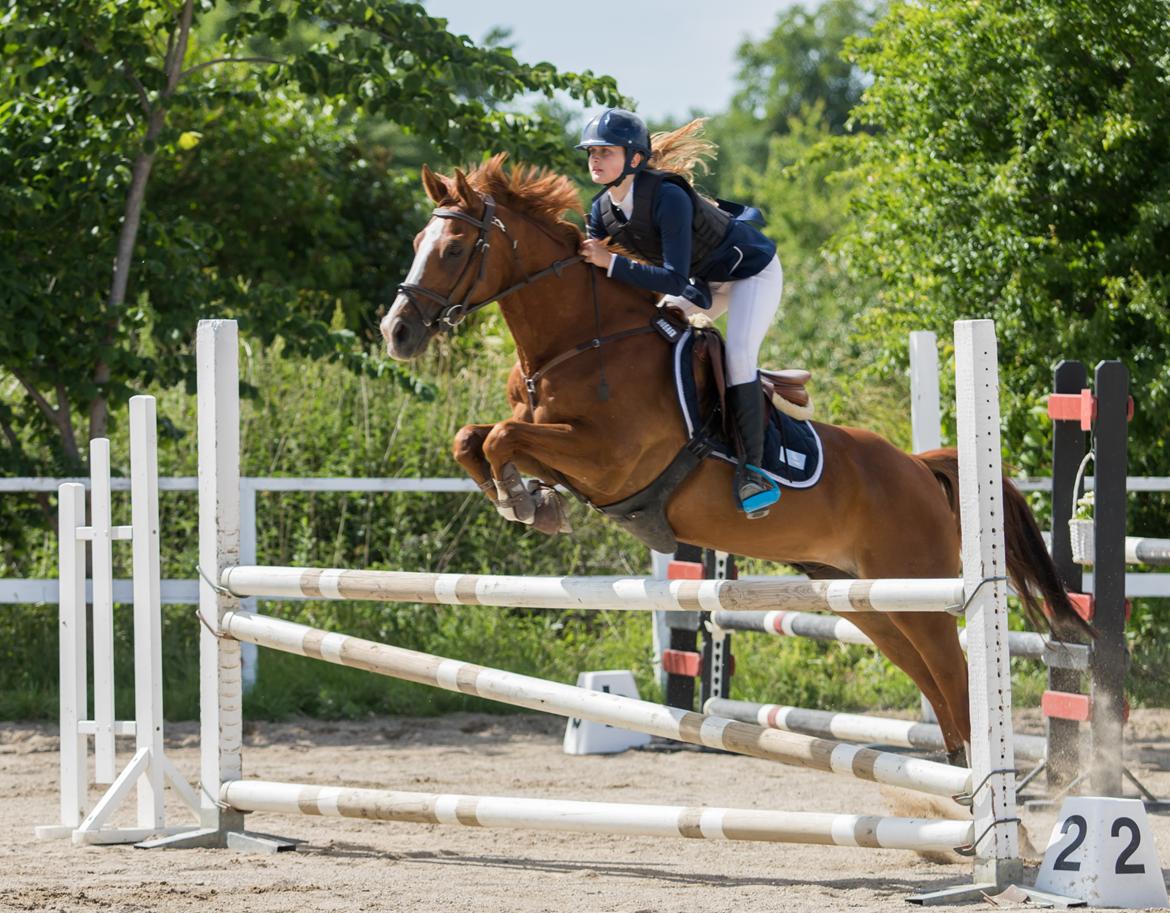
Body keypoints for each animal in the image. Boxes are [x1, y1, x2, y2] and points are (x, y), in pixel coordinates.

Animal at [383, 155, 1085, 763]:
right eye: (416, 239)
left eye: (452, 248)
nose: (397, 332)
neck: (581, 342)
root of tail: (918, 467)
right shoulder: (564, 447)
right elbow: (474, 437)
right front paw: (528, 500)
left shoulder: (610, 461)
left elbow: (502, 438)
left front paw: (525, 501)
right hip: (865, 600)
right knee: (936, 685)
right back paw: (956, 793)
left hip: (916, 591)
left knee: (956, 676)